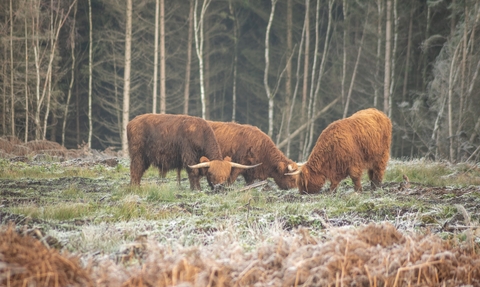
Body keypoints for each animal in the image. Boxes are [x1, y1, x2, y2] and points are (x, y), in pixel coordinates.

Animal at [124, 113, 258, 190]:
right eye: (211, 174)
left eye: (226, 174)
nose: (220, 187)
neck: (201, 134)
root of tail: (132, 122)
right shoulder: (188, 156)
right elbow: (193, 173)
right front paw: (196, 189)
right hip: (138, 155)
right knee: (136, 170)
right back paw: (135, 188)